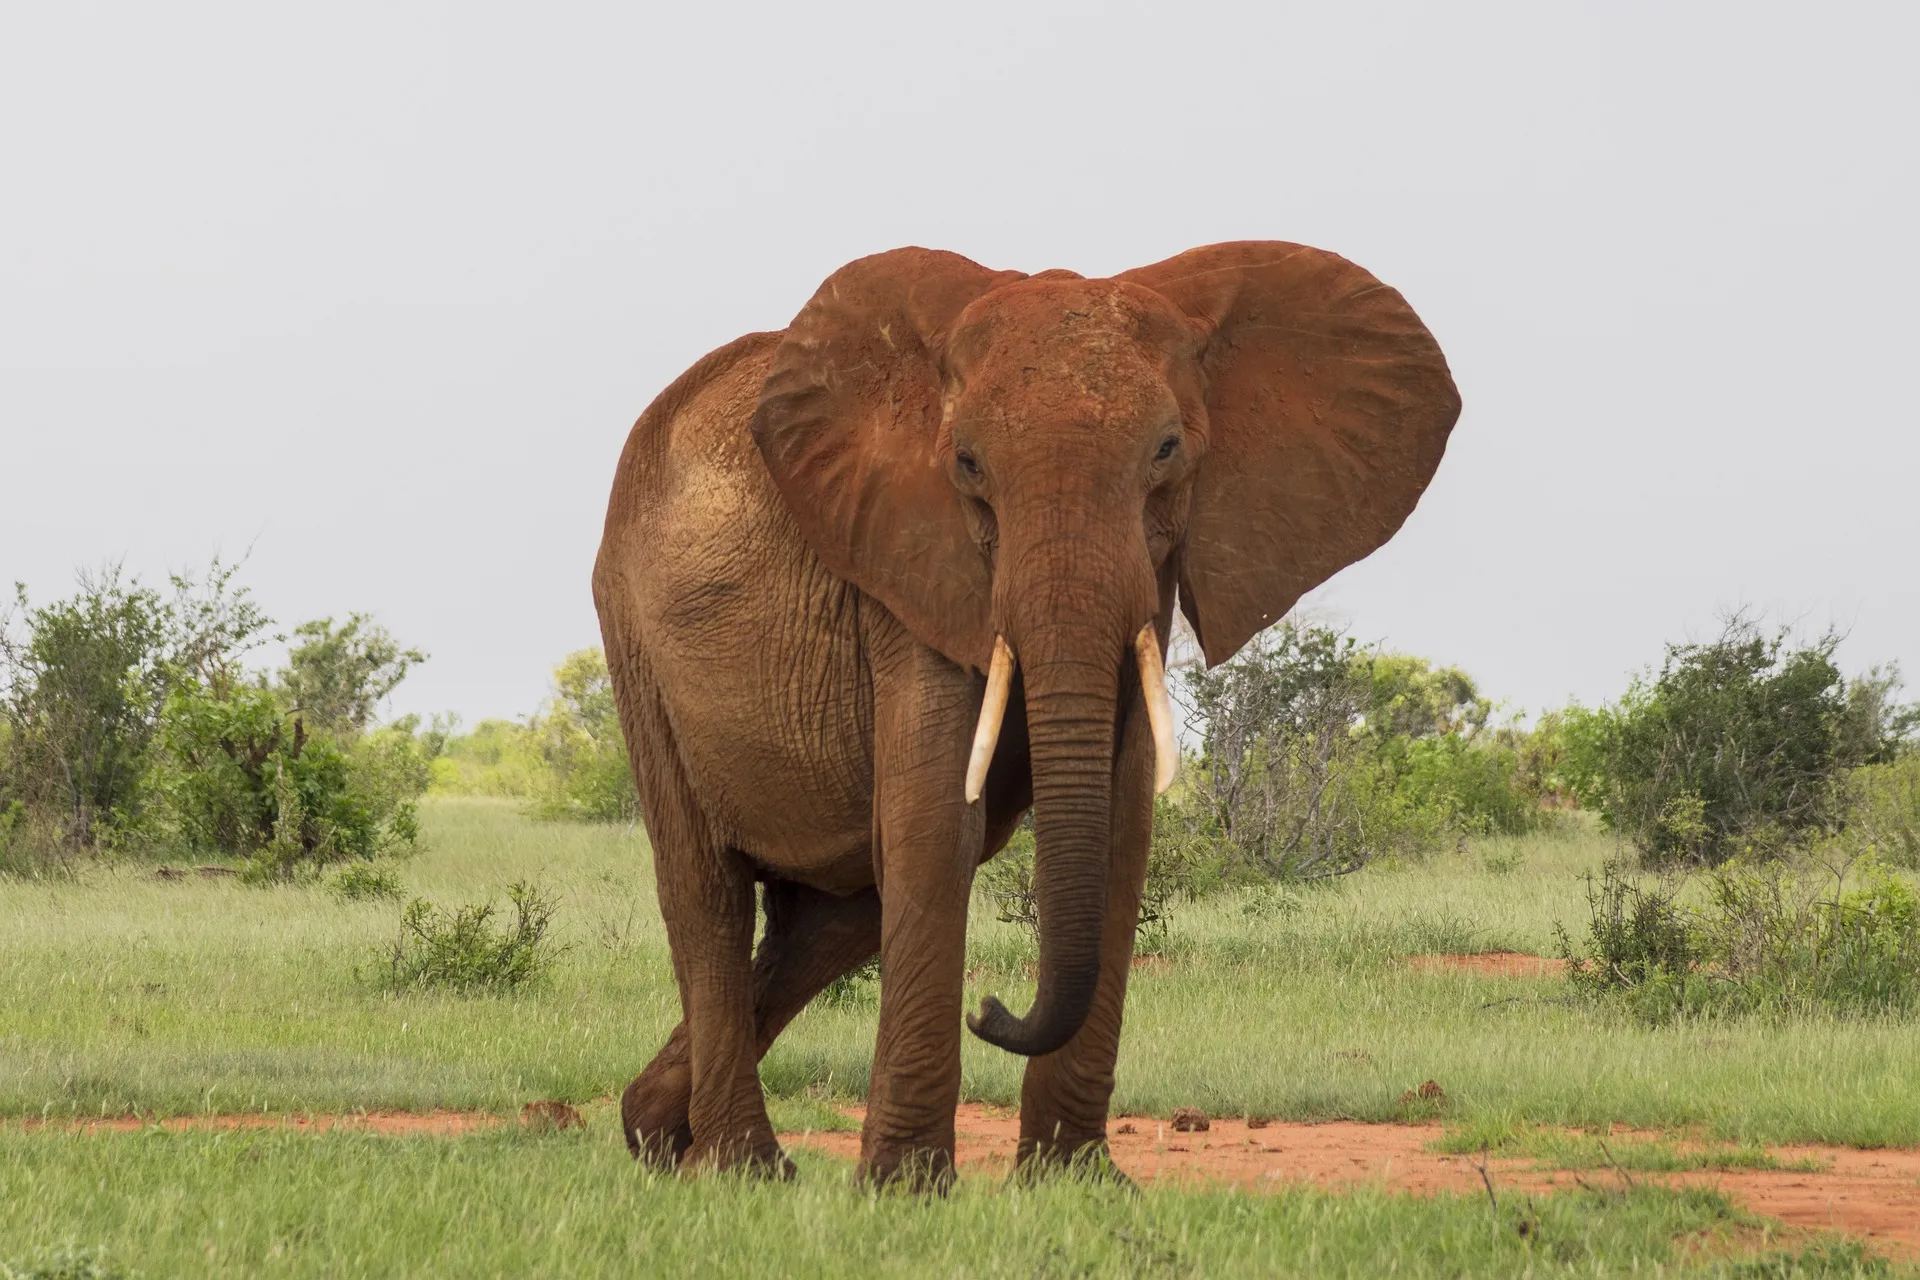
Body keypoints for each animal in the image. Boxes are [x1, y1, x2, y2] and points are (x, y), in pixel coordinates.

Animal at [591, 237, 1459, 1182]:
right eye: (968, 465)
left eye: (1167, 451)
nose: (992, 1009)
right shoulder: (907, 566)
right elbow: (939, 821)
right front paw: (904, 1188)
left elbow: (1117, 823)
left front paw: (1076, 1183)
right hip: (633, 636)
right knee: (708, 892)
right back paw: (741, 1168)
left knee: (832, 921)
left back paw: (655, 1132)